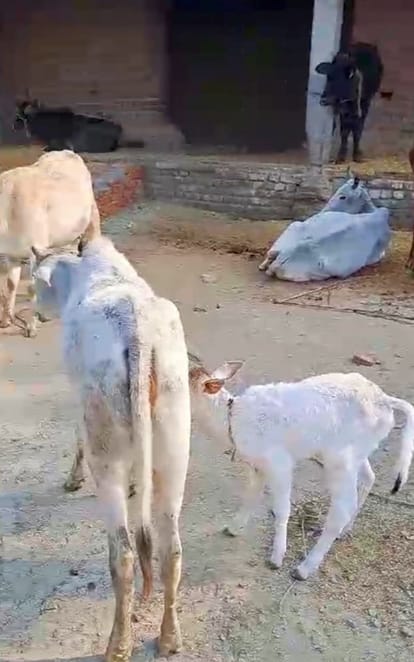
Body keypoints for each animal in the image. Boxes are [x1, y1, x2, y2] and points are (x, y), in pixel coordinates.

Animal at [0, 150, 101, 337]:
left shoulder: (34, 248)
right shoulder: (11, 253)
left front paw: (31, 327)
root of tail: (66, 152)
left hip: (92, 218)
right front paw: (6, 320)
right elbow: (11, 285)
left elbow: (32, 287)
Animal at [32, 237, 191, 661]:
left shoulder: (77, 394)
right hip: (175, 442)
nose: (35, 313)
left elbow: (76, 435)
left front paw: (72, 479)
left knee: (123, 552)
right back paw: (169, 638)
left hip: (106, 445)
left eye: (35, 283)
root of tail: (137, 333)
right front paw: (137, 484)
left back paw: (118, 644)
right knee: (170, 547)